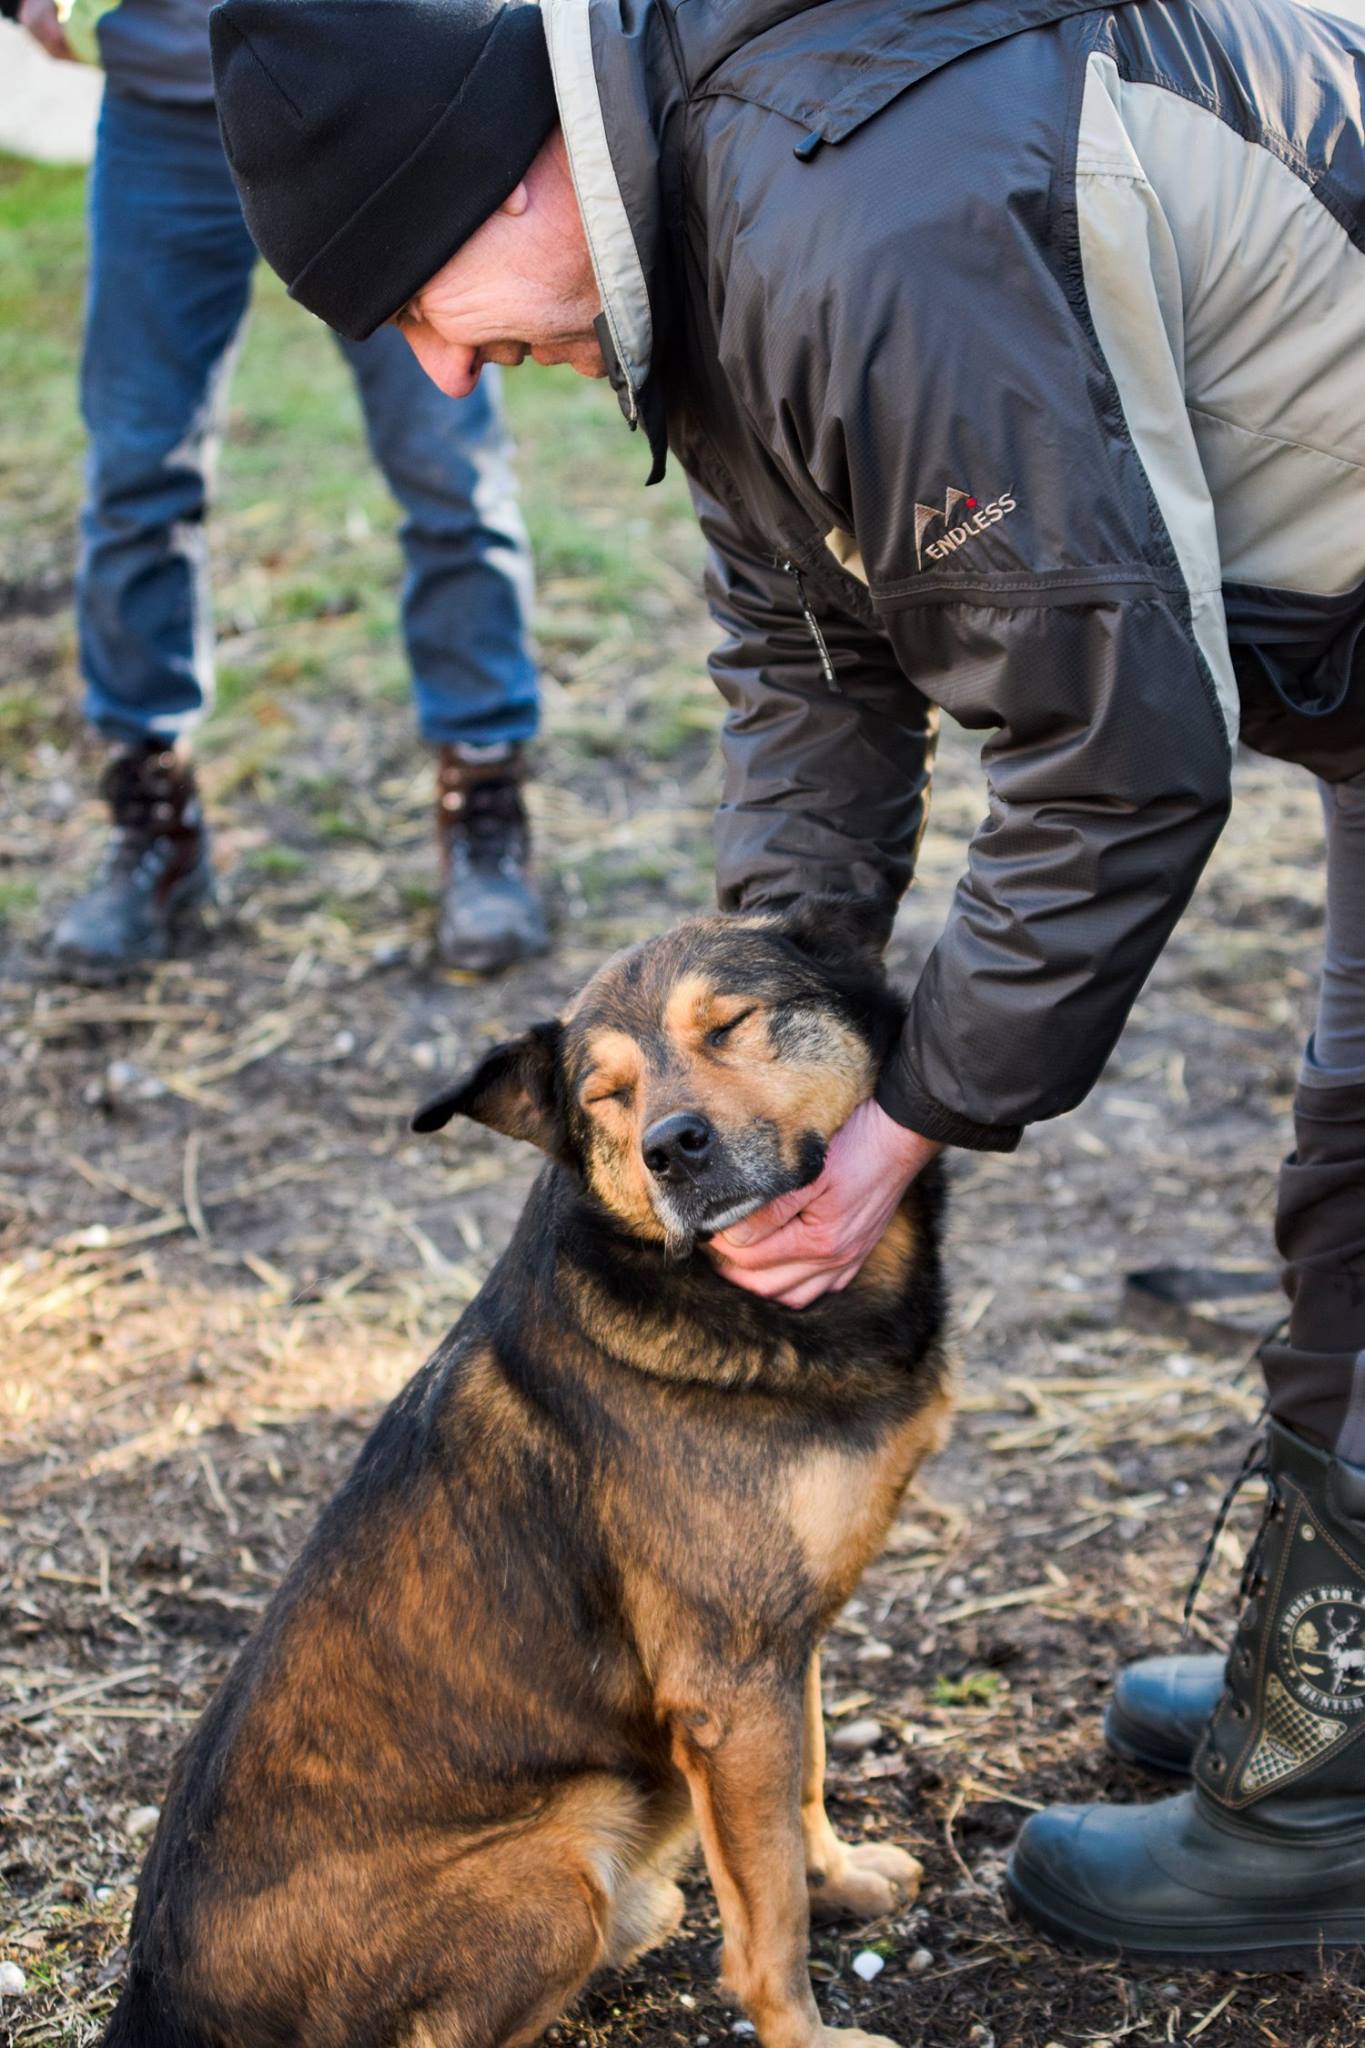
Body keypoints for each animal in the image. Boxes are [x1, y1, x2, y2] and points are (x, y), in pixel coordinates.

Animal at [103, 905, 951, 2048]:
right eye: (605, 1095)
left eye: (730, 1023)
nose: (672, 1147)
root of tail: (154, 2001)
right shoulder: (727, 1675)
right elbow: (765, 1908)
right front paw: (806, 2033)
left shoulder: (778, 1643)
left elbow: (805, 1783)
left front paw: (841, 1878)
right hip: (559, 1862)